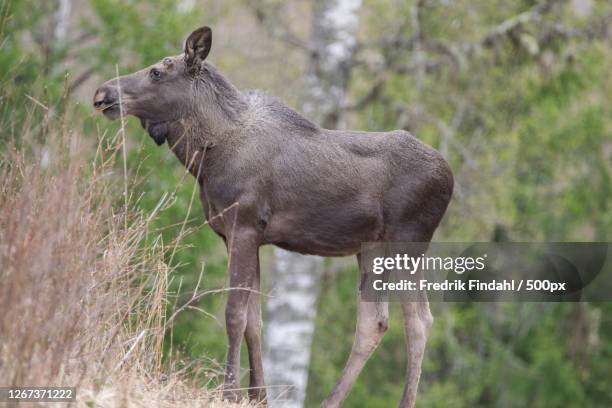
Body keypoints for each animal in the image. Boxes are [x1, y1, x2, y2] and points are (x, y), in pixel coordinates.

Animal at [93, 27, 452, 406]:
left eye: (157, 72)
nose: (103, 93)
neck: (204, 156)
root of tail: (449, 177)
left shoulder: (244, 225)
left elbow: (234, 314)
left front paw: (229, 392)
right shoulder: (237, 235)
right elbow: (255, 321)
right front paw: (257, 396)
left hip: (408, 242)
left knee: (419, 321)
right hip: (371, 249)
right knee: (374, 322)